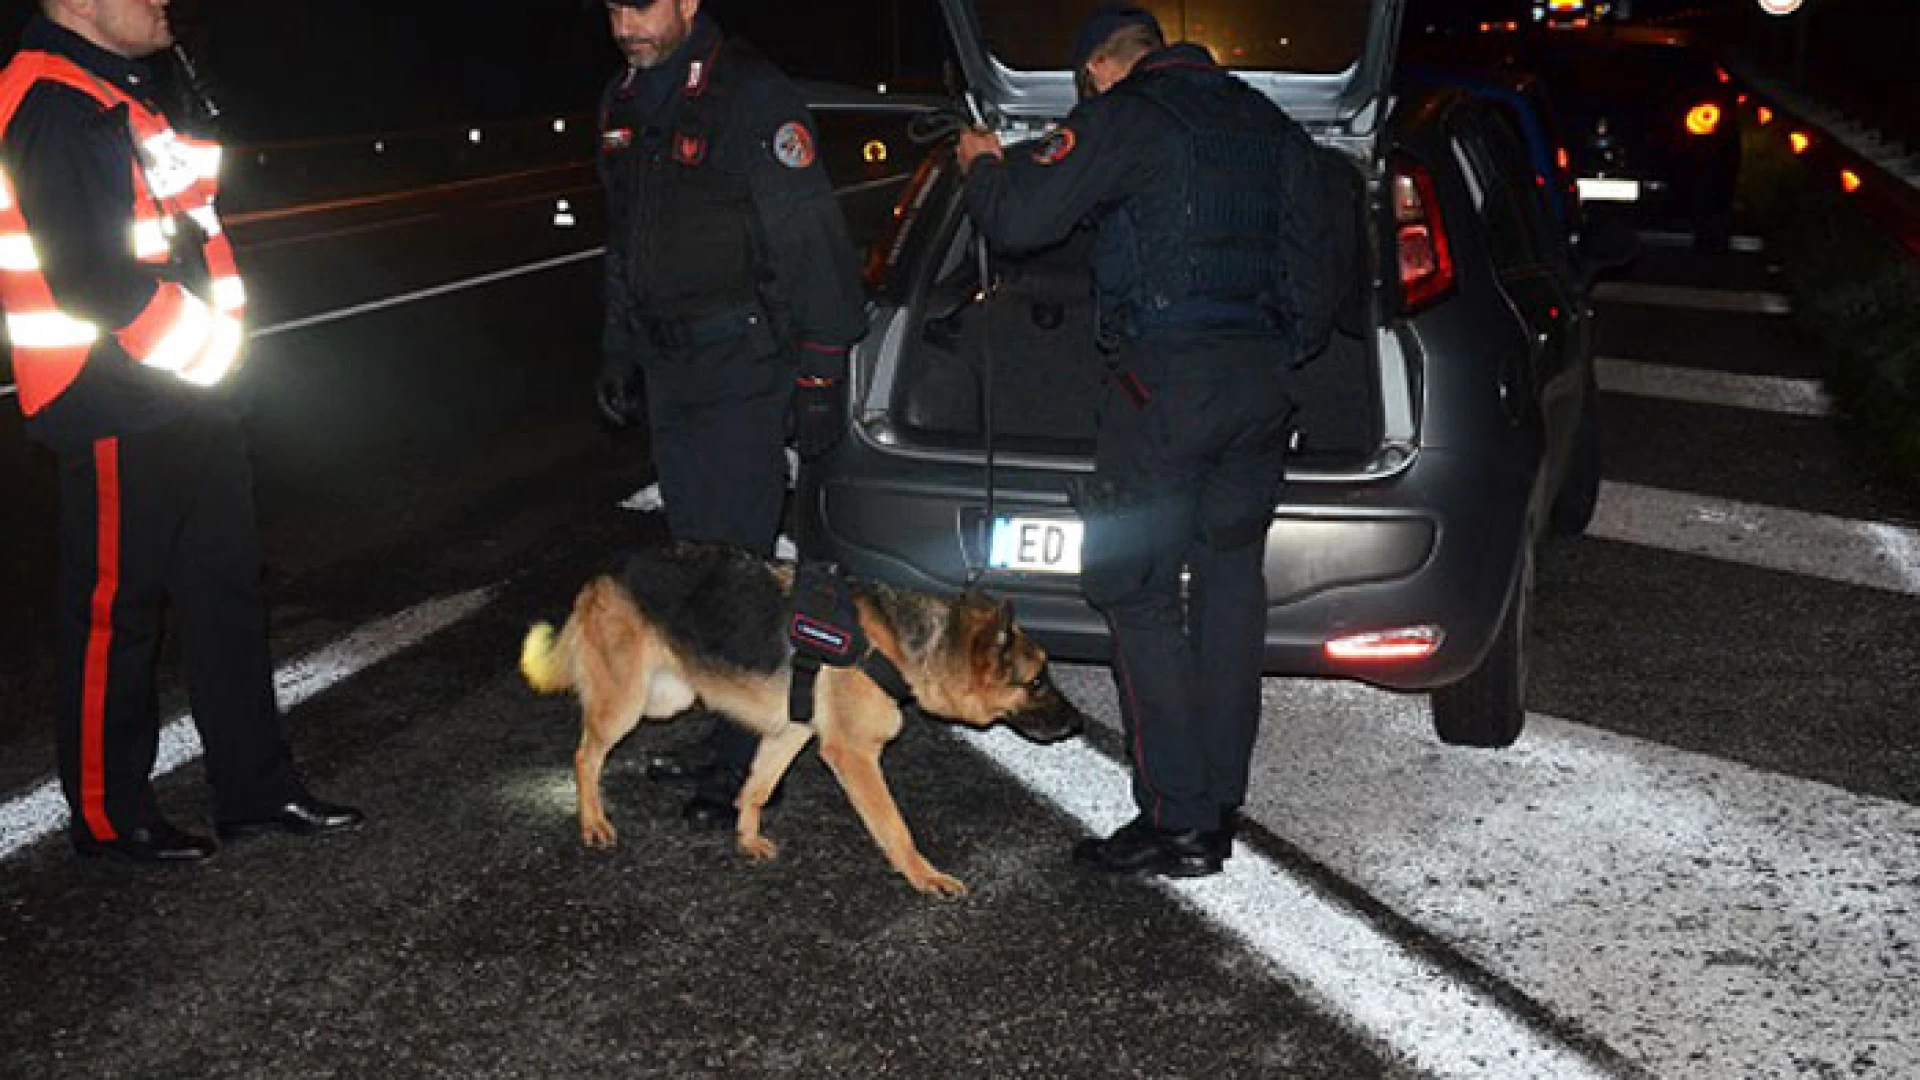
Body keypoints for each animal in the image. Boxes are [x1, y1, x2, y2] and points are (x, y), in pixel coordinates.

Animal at [526, 541, 1090, 895]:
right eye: (1037, 681)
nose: (1079, 724)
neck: (900, 646)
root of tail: (606, 571)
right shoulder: (854, 755)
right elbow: (894, 824)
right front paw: (923, 876)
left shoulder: (790, 732)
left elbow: (755, 787)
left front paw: (746, 837)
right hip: (627, 703)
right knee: (584, 754)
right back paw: (592, 820)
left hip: (668, 697)